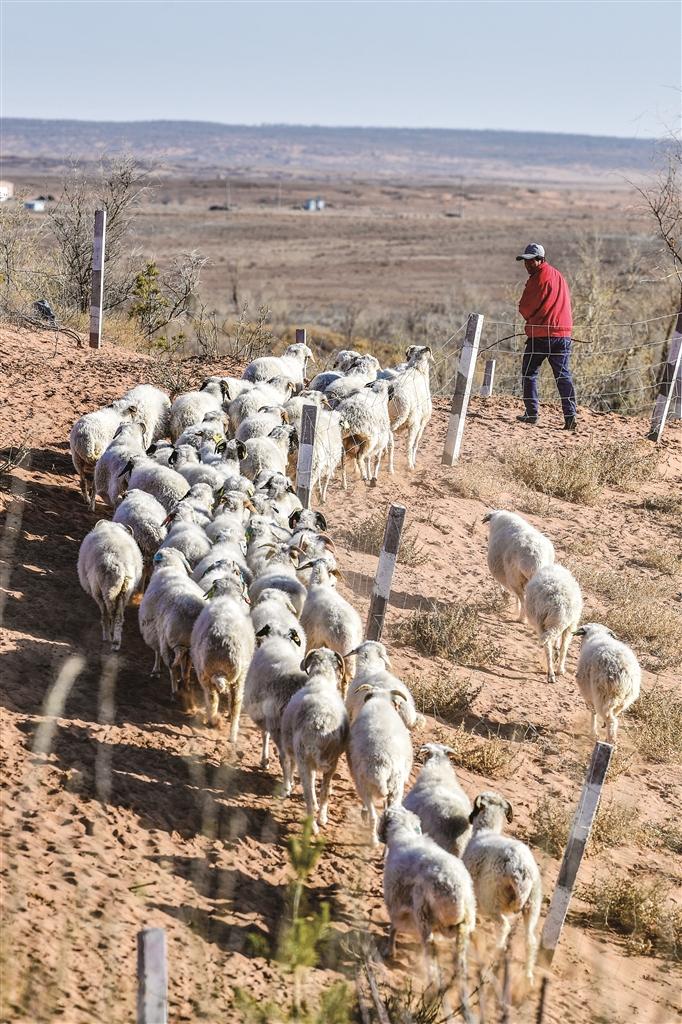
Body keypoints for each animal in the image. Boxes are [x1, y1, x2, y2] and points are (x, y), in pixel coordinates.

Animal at [77, 516, 142, 651]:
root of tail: (113, 563)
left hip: (98, 589)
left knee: (106, 613)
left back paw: (107, 636)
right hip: (125, 590)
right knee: (118, 615)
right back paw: (116, 641)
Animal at [278, 647, 348, 831]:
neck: (321, 678)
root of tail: (319, 723)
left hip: (304, 758)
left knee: (308, 792)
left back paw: (314, 825)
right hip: (327, 762)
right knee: (322, 791)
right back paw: (320, 820)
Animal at [376, 806, 473, 983]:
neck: (404, 833)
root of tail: (455, 890)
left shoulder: (395, 901)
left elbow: (394, 927)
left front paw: (389, 951)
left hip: (423, 915)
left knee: (430, 951)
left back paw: (432, 980)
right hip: (464, 925)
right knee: (460, 960)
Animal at [458, 790, 540, 983]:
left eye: (476, 808)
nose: (469, 817)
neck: (486, 831)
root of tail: (520, 869)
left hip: (491, 898)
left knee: (504, 927)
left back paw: (489, 967)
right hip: (532, 905)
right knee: (530, 940)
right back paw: (528, 977)